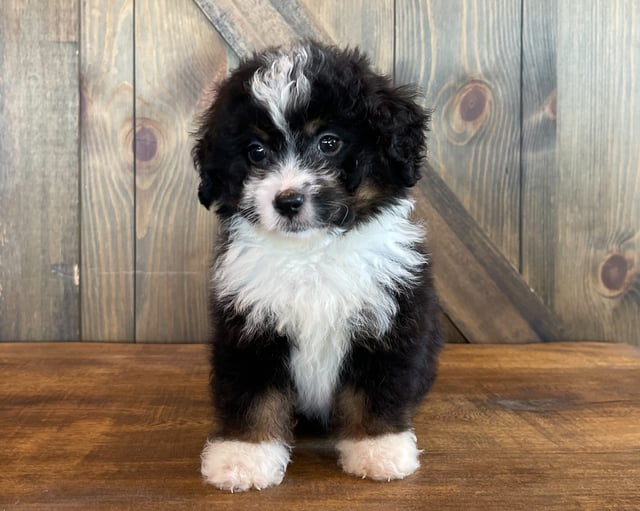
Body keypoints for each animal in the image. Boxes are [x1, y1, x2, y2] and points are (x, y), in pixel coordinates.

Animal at [191, 41, 440, 492]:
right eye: (256, 152)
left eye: (329, 142)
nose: (287, 201)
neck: (311, 253)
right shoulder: (249, 324)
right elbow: (252, 393)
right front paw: (244, 456)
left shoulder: (388, 318)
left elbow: (376, 388)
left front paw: (379, 448)